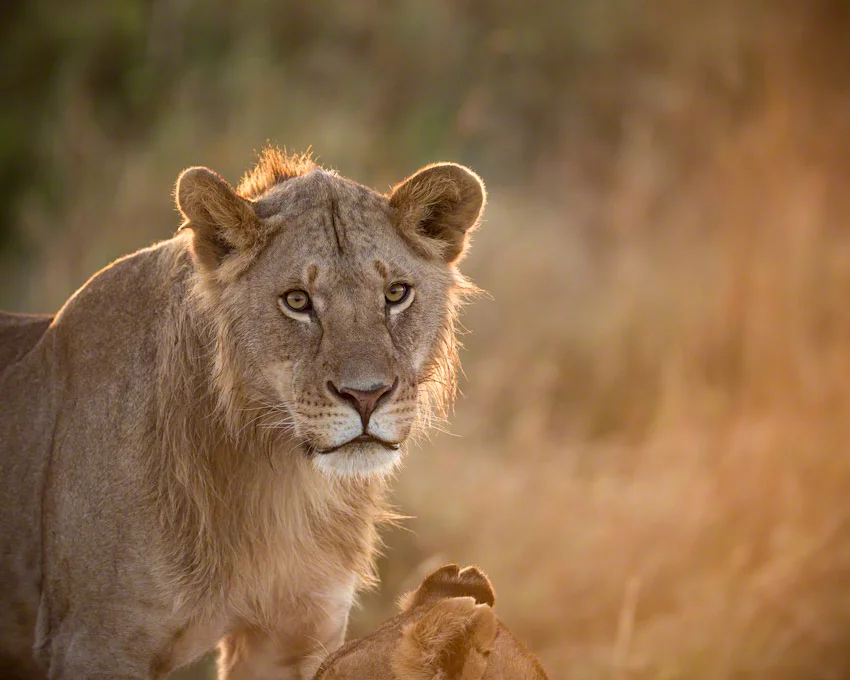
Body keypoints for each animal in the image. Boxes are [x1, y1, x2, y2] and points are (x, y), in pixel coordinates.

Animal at [0, 148, 485, 679]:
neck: (279, 482)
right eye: (297, 301)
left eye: (396, 293)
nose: (366, 395)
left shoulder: (293, 638)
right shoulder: (95, 643)